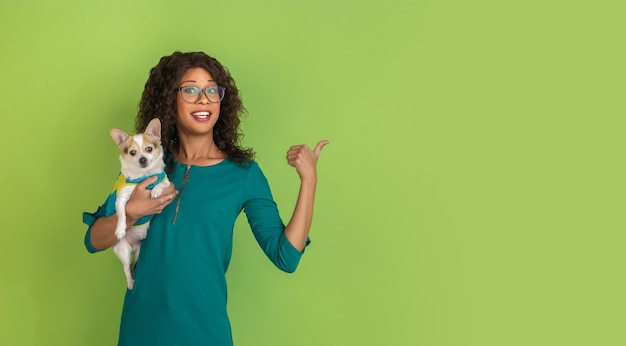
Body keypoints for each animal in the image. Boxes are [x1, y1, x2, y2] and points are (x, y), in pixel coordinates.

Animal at [108, 117, 169, 290]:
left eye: (149, 149)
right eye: (132, 152)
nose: (142, 159)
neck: (144, 176)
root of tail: (133, 245)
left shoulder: (168, 184)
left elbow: (161, 183)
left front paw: (156, 190)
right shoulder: (121, 198)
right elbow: (122, 212)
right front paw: (120, 228)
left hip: (139, 251)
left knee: (133, 264)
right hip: (123, 250)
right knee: (126, 268)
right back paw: (130, 282)